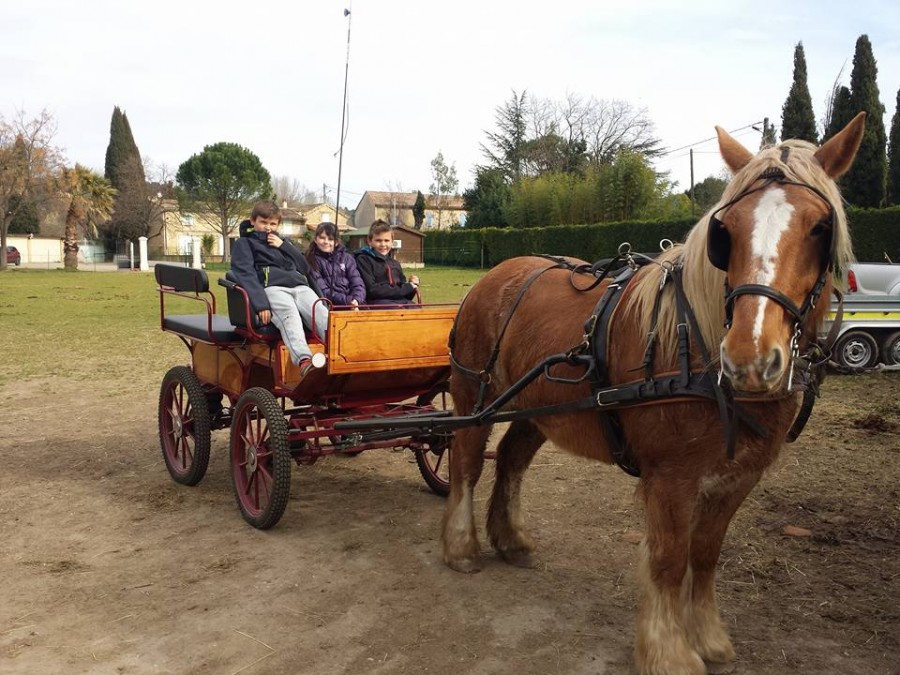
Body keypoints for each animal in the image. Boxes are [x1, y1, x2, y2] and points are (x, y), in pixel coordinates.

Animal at [442, 113, 864, 672]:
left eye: (820, 227)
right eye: (726, 231)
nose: (750, 357)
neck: (696, 346)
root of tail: (498, 273)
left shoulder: (737, 477)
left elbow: (705, 554)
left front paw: (707, 635)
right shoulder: (670, 477)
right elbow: (668, 559)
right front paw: (669, 651)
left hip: (540, 408)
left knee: (511, 460)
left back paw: (510, 539)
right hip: (475, 395)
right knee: (467, 460)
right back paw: (461, 546)